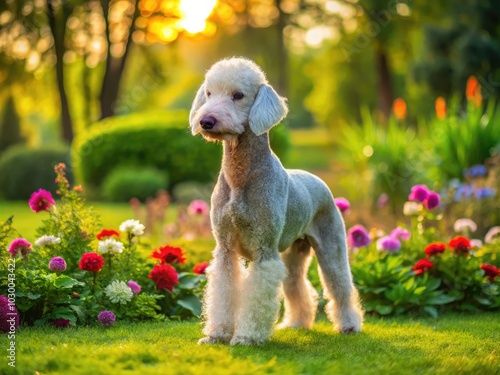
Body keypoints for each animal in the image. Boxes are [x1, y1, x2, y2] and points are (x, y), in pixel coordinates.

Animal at [189, 56, 362, 346]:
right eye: (210, 93)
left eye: (238, 95)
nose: (206, 121)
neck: (240, 178)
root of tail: (318, 179)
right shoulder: (225, 250)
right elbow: (223, 291)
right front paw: (216, 335)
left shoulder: (264, 251)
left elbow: (257, 297)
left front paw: (246, 337)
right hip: (293, 253)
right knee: (298, 286)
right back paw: (297, 323)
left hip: (331, 245)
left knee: (339, 285)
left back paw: (350, 325)